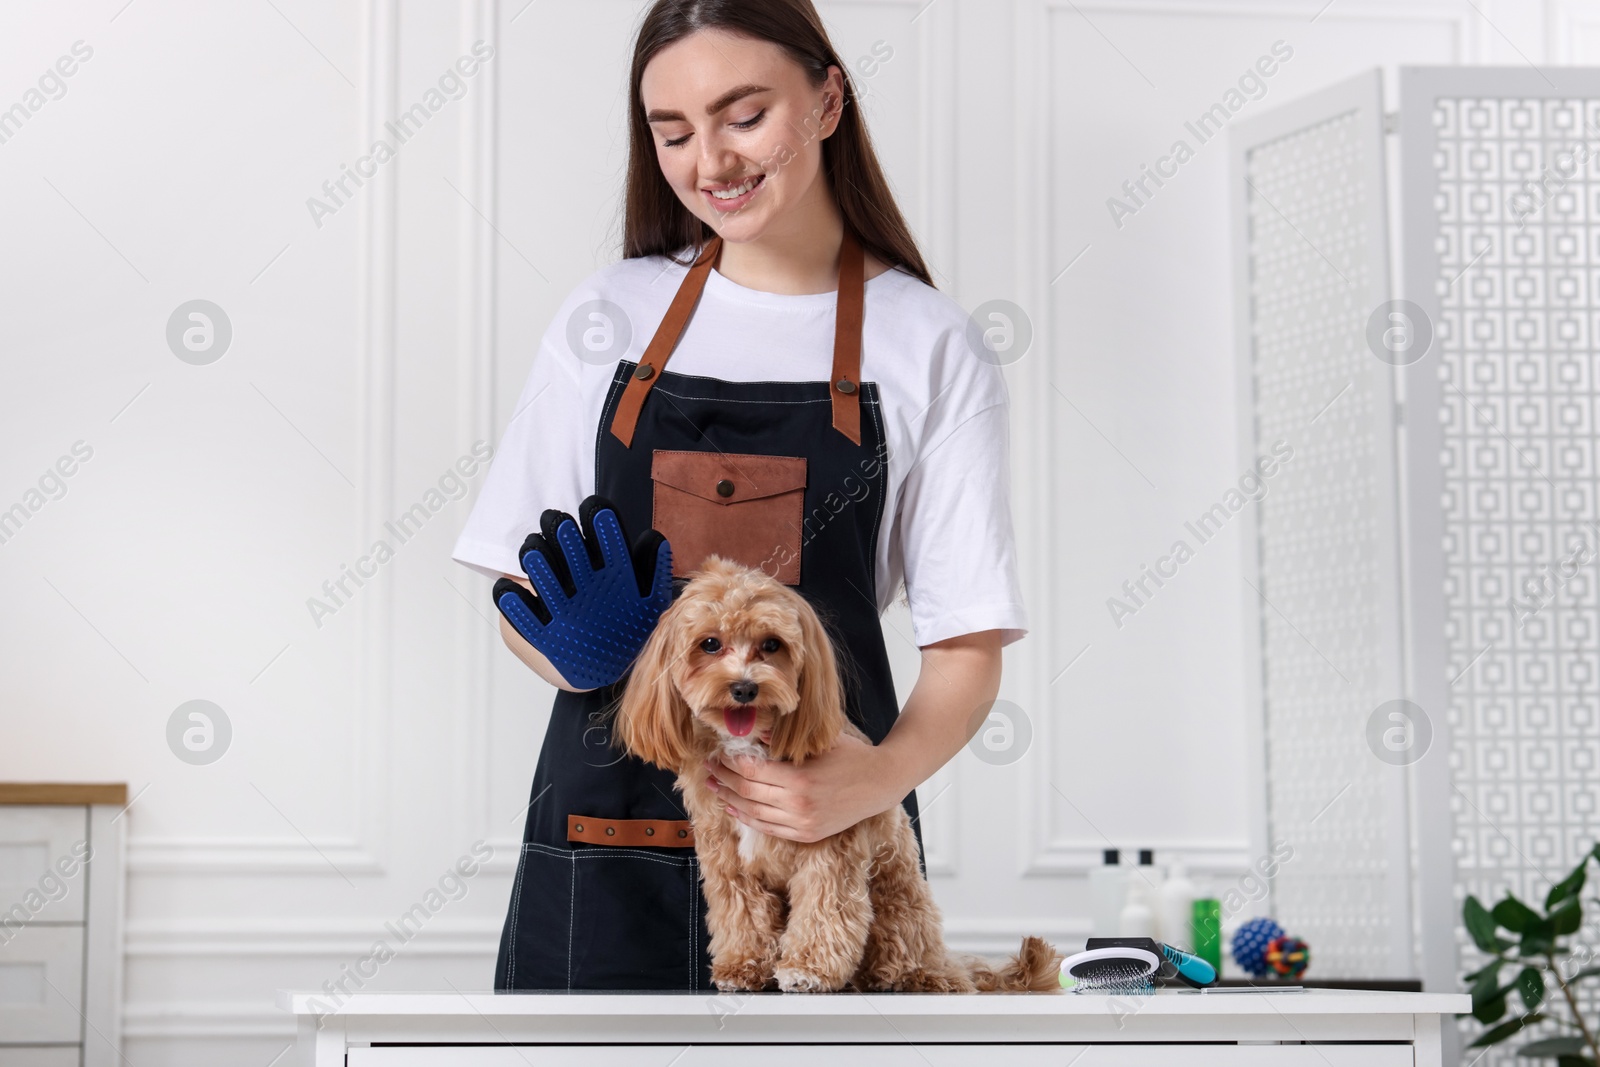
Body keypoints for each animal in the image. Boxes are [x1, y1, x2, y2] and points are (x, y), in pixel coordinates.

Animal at [604, 556, 1056, 998]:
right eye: (710, 644)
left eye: (772, 644)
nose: (745, 688)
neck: (751, 743)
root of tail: (946, 961)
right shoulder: (726, 853)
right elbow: (743, 913)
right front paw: (743, 965)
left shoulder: (829, 847)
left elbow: (824, 909)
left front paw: (807, 969)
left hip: (898, 905)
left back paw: (915, 977)